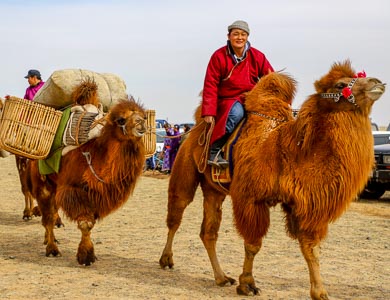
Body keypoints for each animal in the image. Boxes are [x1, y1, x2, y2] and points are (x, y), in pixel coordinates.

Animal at [28, 81, 145, 264]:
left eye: (144, 116)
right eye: (121, 119)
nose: (141, 125)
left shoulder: (94, 195)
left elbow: (90, 223)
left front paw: (89, 254)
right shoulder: (73, 191)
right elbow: (85, 223)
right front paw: (85, 256)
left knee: (50, 213)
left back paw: (50, 240)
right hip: (43, 183)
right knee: (48, 216)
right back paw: (52, 249)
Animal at [160, 61, 386, 300]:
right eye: (341, 84)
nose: (377, 82)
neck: (289, 153)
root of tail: (192, 131)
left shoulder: (301, 204)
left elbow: (311, 248)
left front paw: (319, 291)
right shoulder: (252, 199)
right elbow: (253, 244)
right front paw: (247, 284)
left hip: (215, 190)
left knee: (208, 232)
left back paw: (221, 278)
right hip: (184, 167)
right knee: (176, 213)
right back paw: (166, 259)